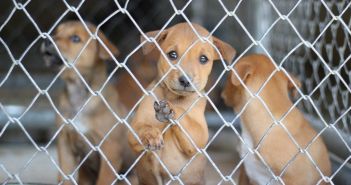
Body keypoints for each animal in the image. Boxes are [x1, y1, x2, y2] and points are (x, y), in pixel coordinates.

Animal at [41, 21, 135, 185]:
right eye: (56, 32)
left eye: (75, 38)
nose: (47, 40)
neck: (78, 93)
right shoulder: (65, 144)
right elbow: (64, 176)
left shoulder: (110, 150)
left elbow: (103, 181)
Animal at [128, 23, 235, 185]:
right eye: (172, 54)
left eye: (203, 59)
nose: (185, 80)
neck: (173, 96)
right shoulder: (134, 130)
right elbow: (142, 127)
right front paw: (151, 134)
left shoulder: (200, 135)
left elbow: (185, 118)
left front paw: (168, 109)